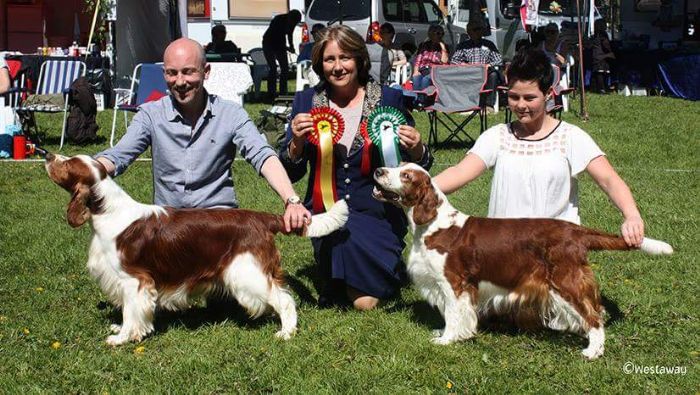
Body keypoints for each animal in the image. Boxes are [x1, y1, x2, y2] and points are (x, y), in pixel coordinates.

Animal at [45, 155, 348, 346]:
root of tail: (263, 218)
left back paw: (286, 332)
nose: (47, 155)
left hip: (245, 272)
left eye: (67, 163)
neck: (108, 211)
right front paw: (121, 330)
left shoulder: (134, 280)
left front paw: (121, 338)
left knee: (284, 299)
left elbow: (131, 311)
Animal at [372, 162, 672, 360]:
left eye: (406, 175)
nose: (378, 170)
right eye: (398, 166)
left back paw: (592, 351)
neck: (433, 225)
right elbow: (449, 314)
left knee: (594, 317)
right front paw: (443, 332)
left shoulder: (454, 283)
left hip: (565, 282)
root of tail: (575, 231)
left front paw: (447, 339)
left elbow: (454, 314)